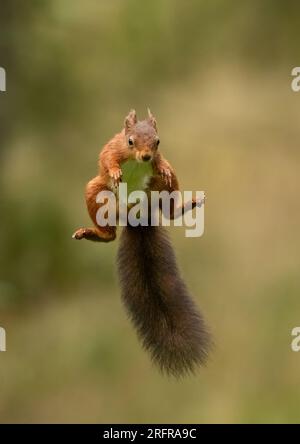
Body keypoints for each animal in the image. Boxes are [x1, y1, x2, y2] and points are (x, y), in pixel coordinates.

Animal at [73, 109, 211, 376]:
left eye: (158, 142)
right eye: (130, 141)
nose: (147, 156)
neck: (136, 161)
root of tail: (136, 214)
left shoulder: (159, 159)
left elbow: (162, 163)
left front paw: (161, 165)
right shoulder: (112, 148)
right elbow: (108, 159)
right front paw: (116, 171)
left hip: (166, 186)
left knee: (169, 209)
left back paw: (186, 205)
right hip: (95, 191)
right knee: (109, 235)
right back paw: (94, 233)